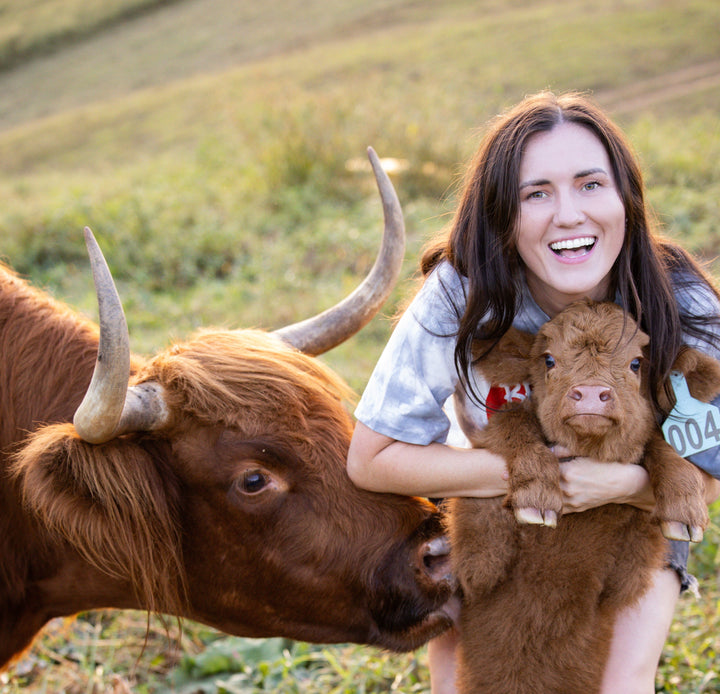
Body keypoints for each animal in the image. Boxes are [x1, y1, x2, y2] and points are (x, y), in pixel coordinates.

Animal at [445, 300, 720, 694]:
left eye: (636, 363)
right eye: (548, 360)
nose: (590, 394)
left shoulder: (632, 563)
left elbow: (661, 443)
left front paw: (684, 511)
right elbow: (512, 425)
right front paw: (534, 499)